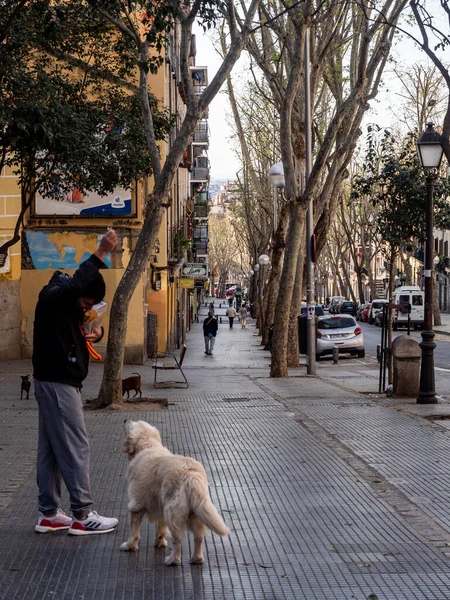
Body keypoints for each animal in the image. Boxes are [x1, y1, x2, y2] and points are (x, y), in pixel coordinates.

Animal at [121, 420, 230, 564]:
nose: (125, 420)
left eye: (132, 424)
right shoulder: (161, 507)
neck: (147, 445)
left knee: (178, 541)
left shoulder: (136, 505)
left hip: (173, 513)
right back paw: (196, 558)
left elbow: (134, 532)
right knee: (198, 538)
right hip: (195, 512)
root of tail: (191, 475)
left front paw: (129, 546)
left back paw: (172, 560)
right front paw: (160, 542)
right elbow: (161, 529)